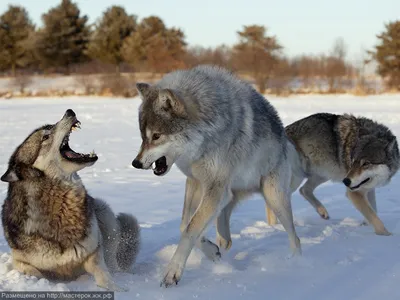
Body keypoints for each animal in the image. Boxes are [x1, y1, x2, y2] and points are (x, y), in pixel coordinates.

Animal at [0, 109, 141, 292]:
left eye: (50, 126)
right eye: (46, 136)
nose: (69, 111)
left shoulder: (94, 251)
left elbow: (103, 273)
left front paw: (118, 290)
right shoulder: (20, 261)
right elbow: (35, 273)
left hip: (103, 212)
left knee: (113, 264)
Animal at [130, 64, 300, 288]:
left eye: (156, 136)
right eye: (143, 137)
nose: (136, 163)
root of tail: (284, 137)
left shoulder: (214, 187)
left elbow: (191, 228)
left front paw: (172, 273)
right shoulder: (196, 182)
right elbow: (185, 225)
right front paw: (211, 251)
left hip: (273, 198)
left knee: (295, 237)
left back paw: (296, 263)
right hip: (231, 193)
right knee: (225, 218)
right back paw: (223, 243)